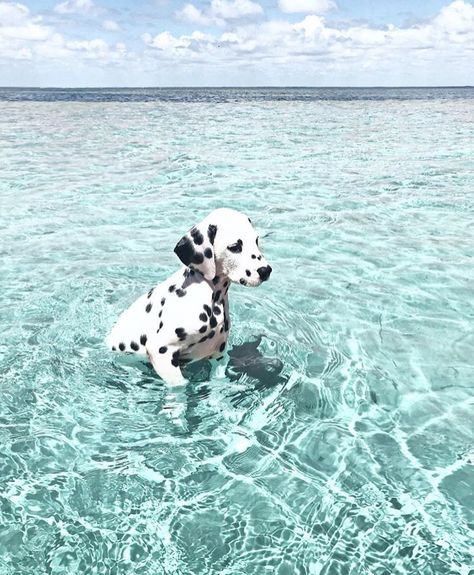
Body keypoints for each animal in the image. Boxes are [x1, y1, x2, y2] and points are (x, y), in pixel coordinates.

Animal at [106, 209, 272, 384]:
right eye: (235, 247)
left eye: (256, 240)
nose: (266, 270)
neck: (211, 297)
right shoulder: (161, 350)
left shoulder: (219, 353)